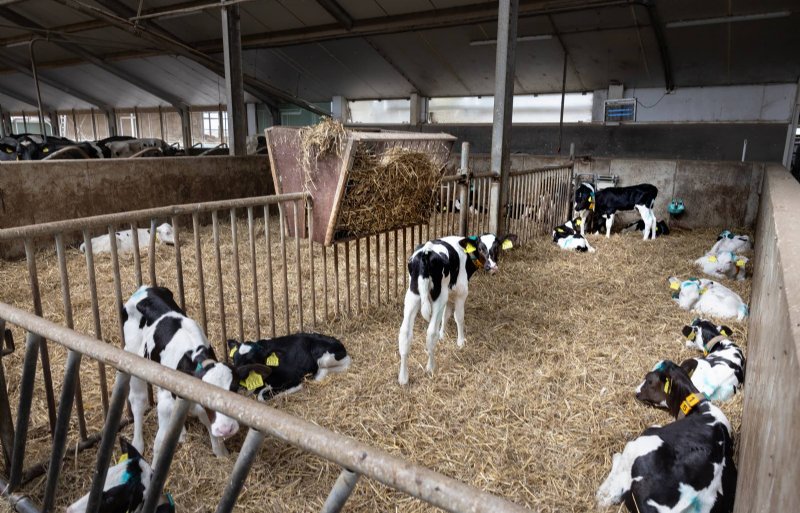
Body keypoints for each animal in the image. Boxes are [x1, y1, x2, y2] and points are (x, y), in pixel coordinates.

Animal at [396, 233, 520, 384]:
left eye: (497, 247)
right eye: (481, 248)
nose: (492, 266)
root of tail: (426, 252)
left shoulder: (450, 293)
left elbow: (446, 315)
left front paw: (442, 335)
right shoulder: (461, 292)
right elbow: (458, 317)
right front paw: (461, 342)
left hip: (412, 295)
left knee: (405, 333)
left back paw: (403, 377)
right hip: (438, 297)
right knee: (430, 333)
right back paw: (431, 368)